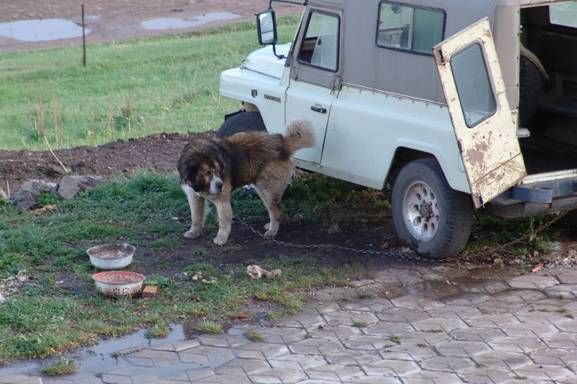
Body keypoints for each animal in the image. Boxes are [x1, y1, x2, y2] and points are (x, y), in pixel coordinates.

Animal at [179, 121, 316, 244]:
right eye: (207, 172)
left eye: (218, 170)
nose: (220, 185)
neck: (199, 183)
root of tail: (282, 143)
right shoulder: (194, 197)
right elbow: (196, 217)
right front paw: (194, 232)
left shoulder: (222, 200)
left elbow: (223, 221)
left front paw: (221, 239)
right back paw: (270, 226)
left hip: (266, 189)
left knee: (276, 211)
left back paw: (272, 231)